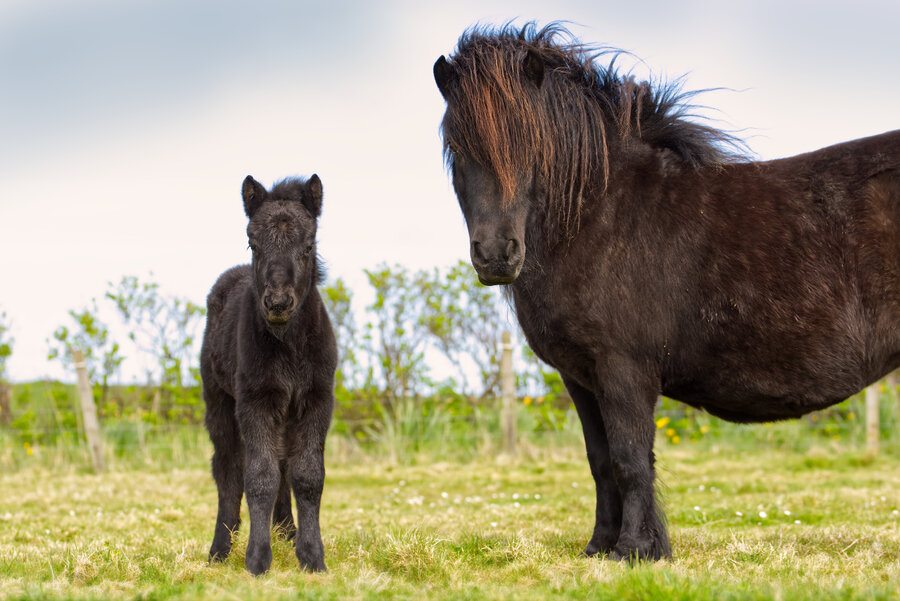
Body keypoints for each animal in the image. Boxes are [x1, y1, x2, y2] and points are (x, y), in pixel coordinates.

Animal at [200, 174, 337, 574]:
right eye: (253, 242)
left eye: (309, 245)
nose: (277, 303)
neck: (287, 345)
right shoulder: (255, 402)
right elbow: (259, 476)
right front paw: (258, 560)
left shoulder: (316, 401)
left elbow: (307, 475)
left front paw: (312, 556)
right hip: (219, 403)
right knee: (228, 471)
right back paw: (220, 548)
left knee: (282, 465)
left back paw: (286, 531)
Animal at [433, 22, 900, 561]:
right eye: (457, 148)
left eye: (532, 148)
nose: (496, 255)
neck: (601, 213)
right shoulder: (580, 377)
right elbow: (601, 461)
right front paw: (601, 546)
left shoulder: (623, 367)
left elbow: (631, 458)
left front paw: (636, 549)